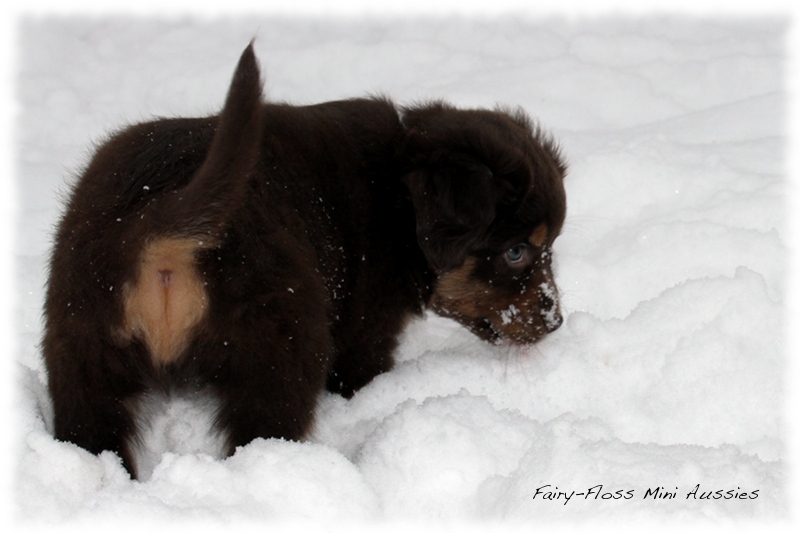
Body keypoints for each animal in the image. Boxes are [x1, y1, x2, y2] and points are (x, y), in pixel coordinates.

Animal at [43, 44, 564, 478]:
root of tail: (158, 216)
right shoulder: (364, 339)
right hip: (283, 350)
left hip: (81, 355)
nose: (557, 322)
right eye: (516, 252)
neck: (398, 200)